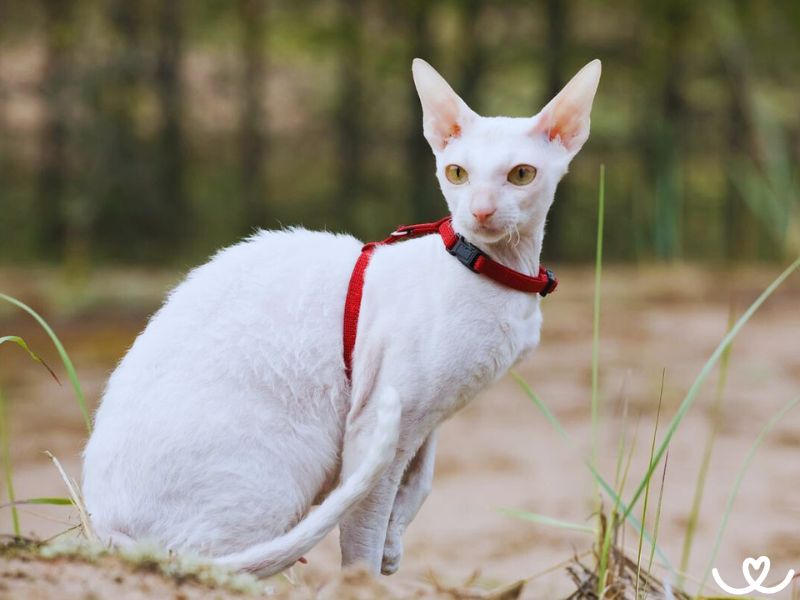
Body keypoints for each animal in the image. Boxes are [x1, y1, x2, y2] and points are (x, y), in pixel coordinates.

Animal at [83, 57, 600, 576]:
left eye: (521, 175)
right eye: (457, 173)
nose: (481, 211)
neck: (494, 271)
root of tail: (103, 525)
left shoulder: (428, 415)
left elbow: (421, 480)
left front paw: (394, 547)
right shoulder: (378, 419)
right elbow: (362, 533)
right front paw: (366, 576)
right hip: (280, 467)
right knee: (216, 562)